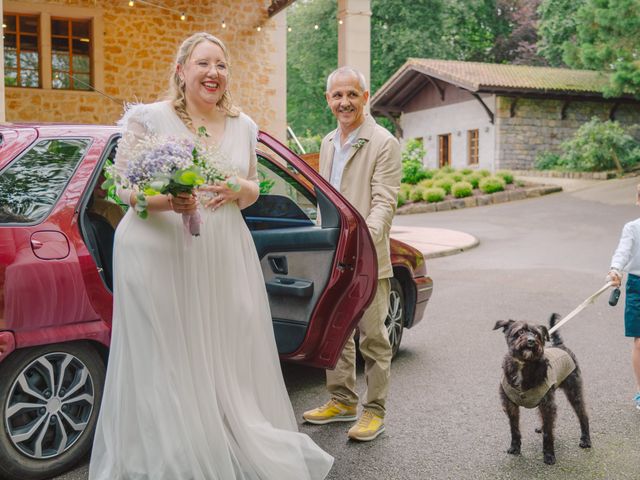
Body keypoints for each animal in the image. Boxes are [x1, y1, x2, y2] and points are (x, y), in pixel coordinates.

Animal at [496, 314, 592, 464]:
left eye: (536, 334)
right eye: (520, 332)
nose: (531, 341)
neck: (523, 364)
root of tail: (560, 345)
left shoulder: (547, 404)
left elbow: (548, 433)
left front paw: (549, 455)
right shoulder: (510, 404)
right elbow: (514, 427)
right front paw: (515, 447)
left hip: (574, 390)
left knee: (583, 414)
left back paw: (586, 440)